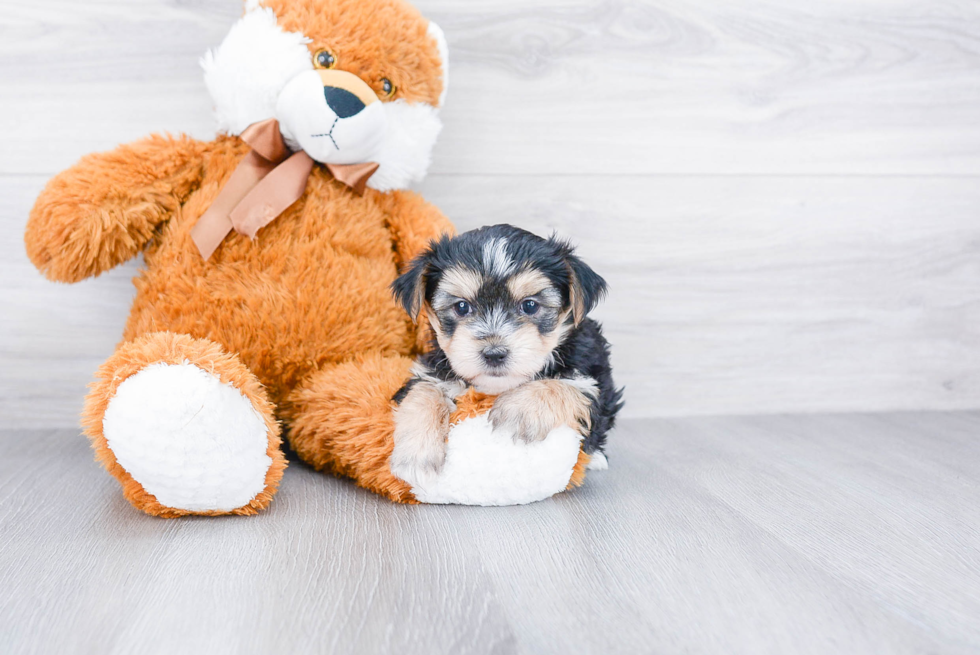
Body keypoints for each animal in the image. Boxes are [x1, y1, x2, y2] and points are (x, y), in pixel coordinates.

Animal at [388, 224, 624, 486]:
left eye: (530, 305)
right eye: (461, 307)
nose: (494, 353)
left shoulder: (591, 375)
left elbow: (566, 385)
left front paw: (518, 410)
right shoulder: (432, 370)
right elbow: (423, 391)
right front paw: (417, 456)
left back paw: (596, 457)